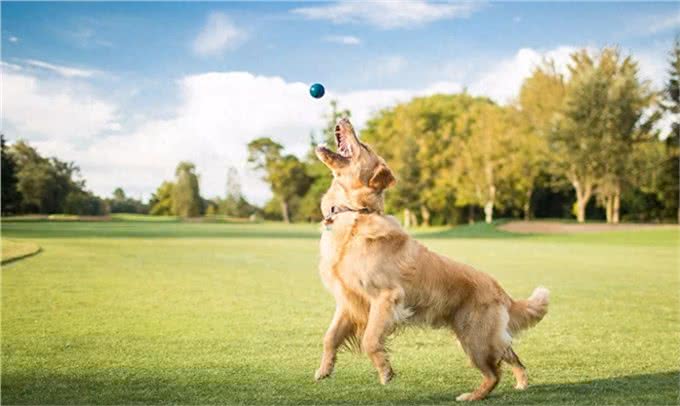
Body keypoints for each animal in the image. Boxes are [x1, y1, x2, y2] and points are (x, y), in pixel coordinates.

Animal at [316, 118, 548, 402]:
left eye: (365, 146)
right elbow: (329, 337)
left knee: (494, 373)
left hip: (475, 339)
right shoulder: (348, 301)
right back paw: (521, 383)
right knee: (510, 355)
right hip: (481, 337)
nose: (344, 119)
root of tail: (501, 291)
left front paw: (385, 372)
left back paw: (471, 396)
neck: (355, 214)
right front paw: (324, 370)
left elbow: (370, 339)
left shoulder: (386, 297)